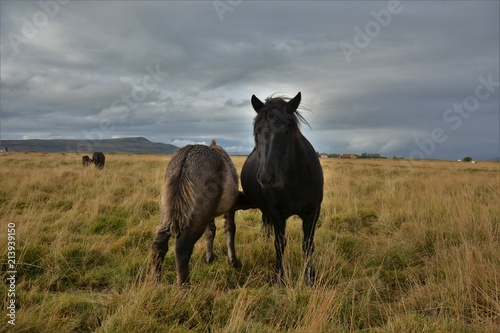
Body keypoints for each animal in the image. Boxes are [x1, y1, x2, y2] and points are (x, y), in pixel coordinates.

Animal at [150, 139, 240, 284]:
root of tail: (185, 159)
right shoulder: (230, 208)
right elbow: (230, 229)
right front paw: (232, 262)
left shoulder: (209, 214)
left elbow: (210, 232)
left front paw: (209, 259)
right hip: (197, 217)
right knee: (182, 248)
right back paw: (184, 286)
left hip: (167, 213)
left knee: (158, 246)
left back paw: (155, 282)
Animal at [241, 92, 324, 284]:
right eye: (257, 131)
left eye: (287, 131)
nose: (266, 178)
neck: (294, 182)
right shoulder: (276, 212)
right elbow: (279, 244)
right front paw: (279, 278)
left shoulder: (313, 211)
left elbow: (308, 244)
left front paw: (310, 277)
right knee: (266, 225)